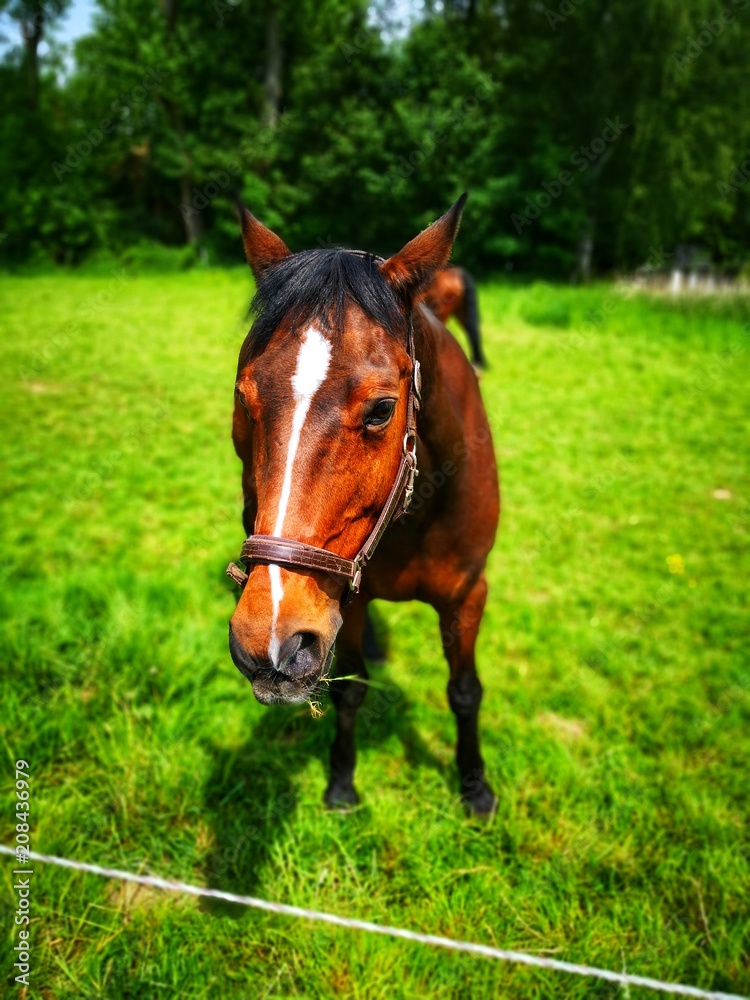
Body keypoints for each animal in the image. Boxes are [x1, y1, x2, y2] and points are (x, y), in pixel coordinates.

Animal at [228, 195, 500, 812]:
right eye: (244, 400)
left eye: (382, 409)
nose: (267, 642)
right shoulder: (338, 601)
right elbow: (349, 691)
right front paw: (341, 781)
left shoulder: (468, 595)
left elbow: (465, 691)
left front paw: (475, 787)